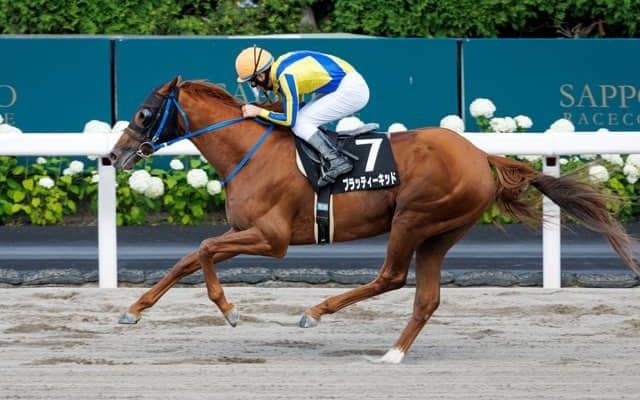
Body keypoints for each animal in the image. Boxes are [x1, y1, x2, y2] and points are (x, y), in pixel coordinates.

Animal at [108, 76, 639, 364]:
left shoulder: (271, 238)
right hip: (441, 232)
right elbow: (187, 259)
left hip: (413, 217)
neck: (249, 152)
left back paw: (316, 312)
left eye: (145, 112)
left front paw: (229, 309)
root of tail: (479, 153)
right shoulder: (248, 232)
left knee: (392, 277)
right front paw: (132, 310)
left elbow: (201, 250)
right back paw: (393, 353)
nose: (114, 156)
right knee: (426, 298)